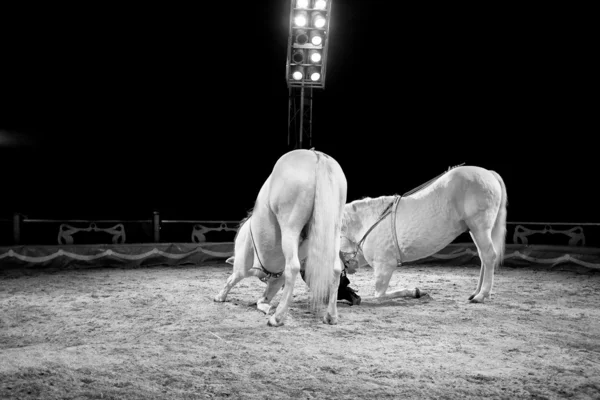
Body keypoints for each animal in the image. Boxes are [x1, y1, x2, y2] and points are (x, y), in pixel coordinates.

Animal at [214, 148, 346, 326]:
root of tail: (316, 156)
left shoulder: (243, 265)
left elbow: (233, 278)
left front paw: (220, 296)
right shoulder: (277, 278)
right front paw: (264, 304)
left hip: (290, 227)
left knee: (293, 267)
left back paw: (277, 318)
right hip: (334, 230)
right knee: (336, 268)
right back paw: (330, 316)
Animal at [342, 164, 506, 302]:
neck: (370, 221)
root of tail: (488, 173)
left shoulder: (384, 265)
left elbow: (380, 294)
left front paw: (416, 292)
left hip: (480, 227)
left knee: (489, 256)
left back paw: (481, 295)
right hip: (474, 230)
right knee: (483, 257)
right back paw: (476, 292)